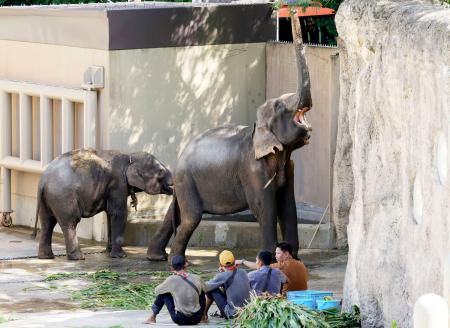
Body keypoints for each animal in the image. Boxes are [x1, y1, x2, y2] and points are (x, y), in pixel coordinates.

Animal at [32, 149, 173, 262]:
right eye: (161, 171)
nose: (172, 187)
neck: (129, 156)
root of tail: (43, 179)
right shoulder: (117, 183)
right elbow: (118, 213)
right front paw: (120, 256)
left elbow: (110, 215)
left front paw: (109, 252)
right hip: (64, 197)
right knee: (70, 222)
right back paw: (78, 258)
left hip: (49, 198)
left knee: (47, 223)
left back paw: (46, 257)